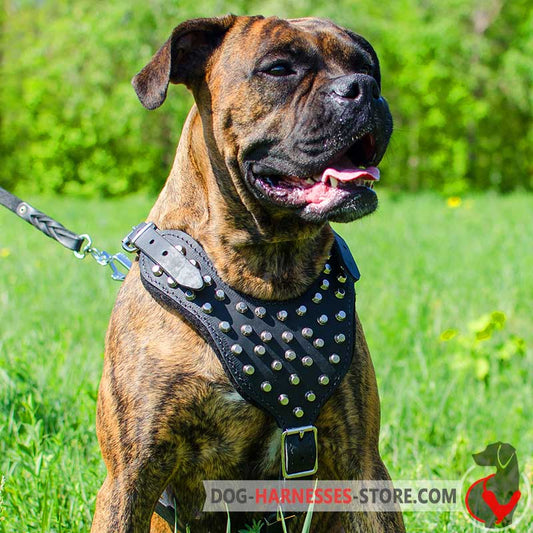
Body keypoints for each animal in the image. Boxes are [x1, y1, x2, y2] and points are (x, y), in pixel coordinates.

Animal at [93, 14, 406, 528]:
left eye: (367, 66)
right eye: (278, 68)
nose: (363, 88)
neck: (267, 269)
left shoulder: (362, 462)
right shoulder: (131, 475)